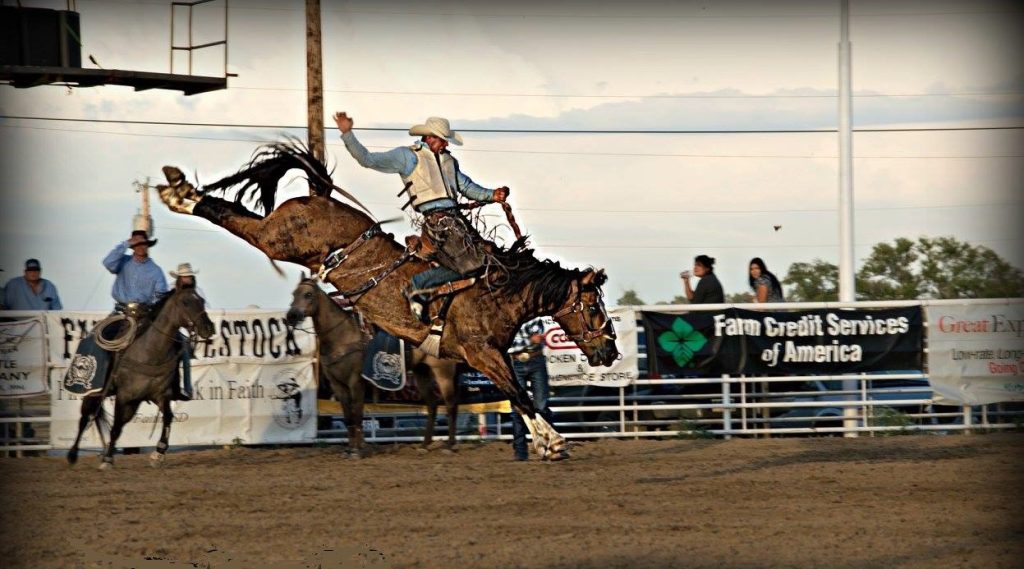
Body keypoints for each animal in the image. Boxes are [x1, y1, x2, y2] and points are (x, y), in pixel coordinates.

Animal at [66, 286, 216, 468]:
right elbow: (115, 427)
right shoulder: (124, 396)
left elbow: (167, 418)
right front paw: (108, 460)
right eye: (185, 302)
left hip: (132, 404)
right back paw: (73, 455)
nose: (208, 328)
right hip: (94, 394)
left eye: (201, 300)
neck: (150, 352)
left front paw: (158, 453)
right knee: (85, 418)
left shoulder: (160, 396)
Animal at [280, 278, 456, 460]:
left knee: (450, 404)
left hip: (443, 372)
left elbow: (357, 415)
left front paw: (358, 450)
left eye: (308, 294)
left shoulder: (356, 381)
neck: (343, 336)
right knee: (432, 405)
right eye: (294, 294)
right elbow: (348, 417)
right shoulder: (338, 385)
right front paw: (350, 449)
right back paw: (424, 445)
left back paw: (449, 445)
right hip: (422, 372)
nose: (291, 316)